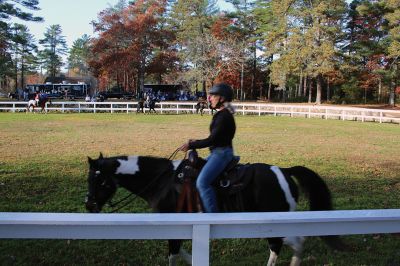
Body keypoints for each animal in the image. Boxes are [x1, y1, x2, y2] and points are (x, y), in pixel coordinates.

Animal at [85, 152, 344, 266]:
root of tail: (285, 171)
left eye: (101, 181)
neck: (163, 181)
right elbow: (180, 252)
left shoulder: (173, 227)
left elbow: (173, 254)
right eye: (89, 178)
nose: (89, 205)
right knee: (297, 242)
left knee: (281, 246)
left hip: (273, 225)